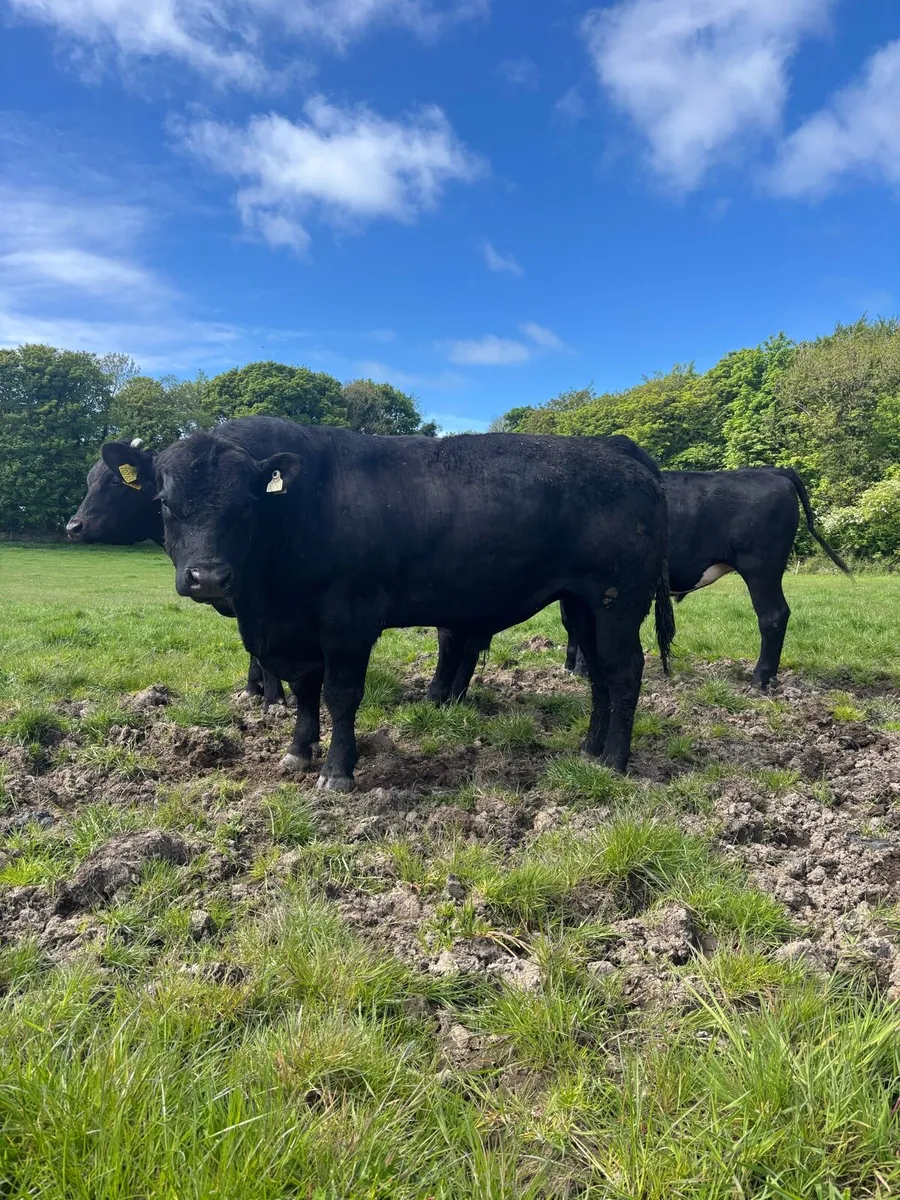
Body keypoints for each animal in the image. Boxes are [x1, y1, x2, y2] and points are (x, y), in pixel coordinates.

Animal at [138, 415, 673, 790]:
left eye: (247, 505)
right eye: (164, 503)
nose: (208, 576)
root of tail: (614, 448)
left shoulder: (348, 621)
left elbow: (340, 694)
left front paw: (337, 772)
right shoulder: (297, 629)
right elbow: (306, 692)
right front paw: (298, 751)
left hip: (618, 600)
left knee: (625, 671)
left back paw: (615, 761)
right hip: (581, 604)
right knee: (599, 673)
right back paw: (589, 749)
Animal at [560, 467, 850, 690]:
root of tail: (771, 470)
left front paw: (582, 670)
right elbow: (570, 623)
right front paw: (570, 666)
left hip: (761, 569)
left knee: (773, 616)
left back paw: (759, 680)